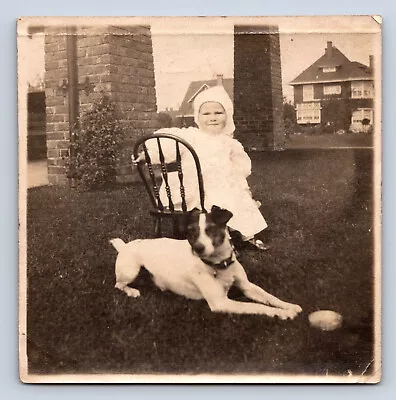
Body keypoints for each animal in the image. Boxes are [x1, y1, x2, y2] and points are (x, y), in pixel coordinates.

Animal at [110, 206, 302, 318]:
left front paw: (289, 306)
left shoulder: (247, 286)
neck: (220, 265)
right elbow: (256, 307)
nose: (198, 248)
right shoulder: (221, 303)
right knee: (119, 285)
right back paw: (132, 291)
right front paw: (282, 314)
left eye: (210, 229)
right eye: (190, 232)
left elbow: (269, 297)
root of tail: (124, 246)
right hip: (131, 270)